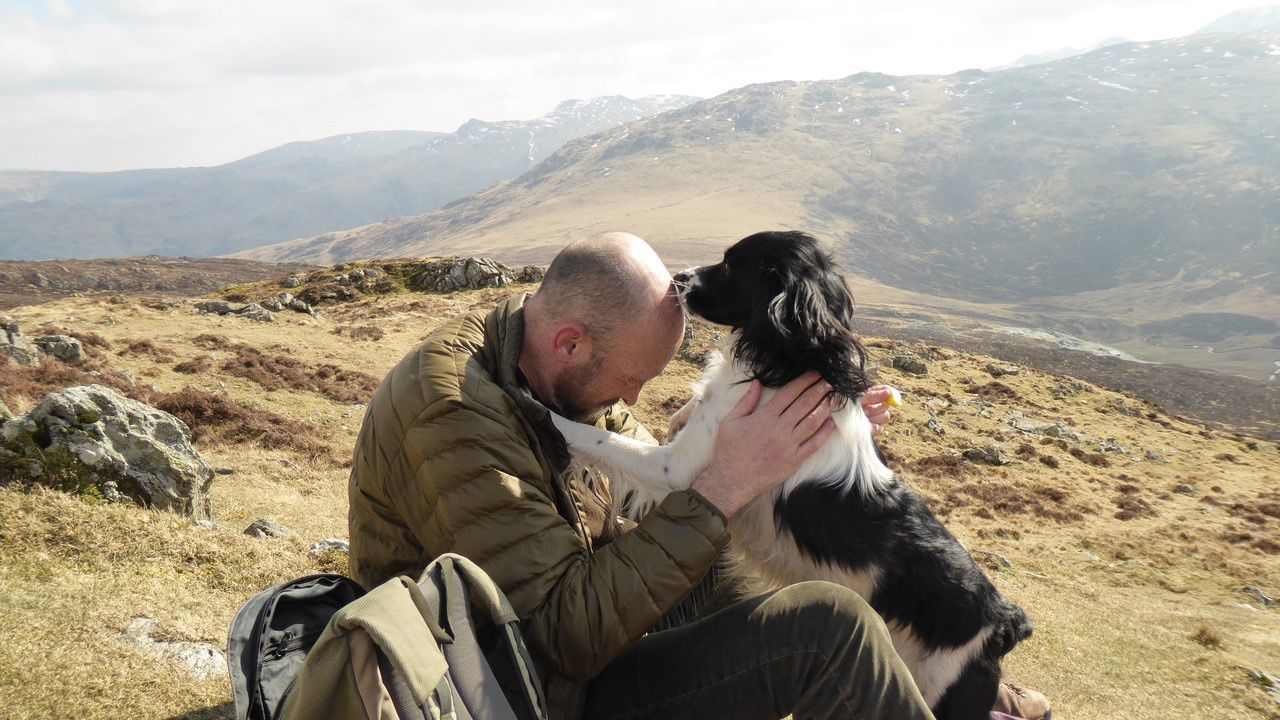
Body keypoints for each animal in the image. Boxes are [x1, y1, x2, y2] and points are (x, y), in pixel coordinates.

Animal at [550, 230, 1029, 717]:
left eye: (731, 265)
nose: (678, 278)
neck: (794, 363)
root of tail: (1004, 621)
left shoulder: (676, 470)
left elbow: (600, 440)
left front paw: (544, 414)